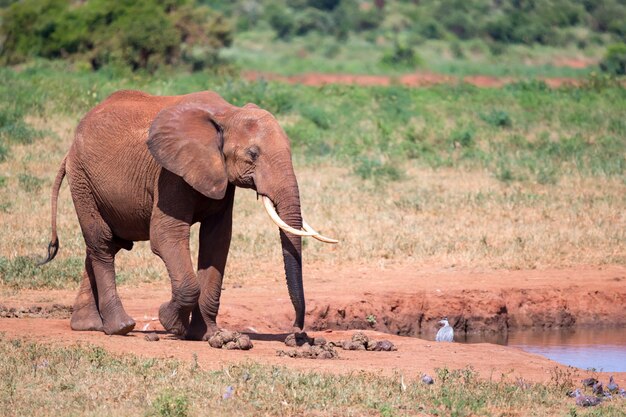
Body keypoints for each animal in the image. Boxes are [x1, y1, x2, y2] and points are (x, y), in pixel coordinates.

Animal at [40, 89, 334, 340]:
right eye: (253, 153)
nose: (297, 333)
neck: (227, 113)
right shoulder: (169, 174)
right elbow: (165, 237)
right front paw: (172, 324)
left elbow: (217, 241)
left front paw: (208, 335)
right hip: (82, 179)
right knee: (101, 243)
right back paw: (121, 327)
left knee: (104, 245)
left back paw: (88, 325)